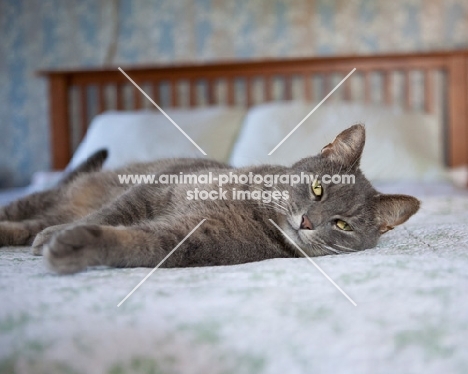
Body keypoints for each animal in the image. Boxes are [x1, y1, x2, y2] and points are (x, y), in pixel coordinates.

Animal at [0, 124, 418, 274]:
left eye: (342, 225)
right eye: (318, 189)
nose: (307, 222)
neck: (256, 210)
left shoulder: (185, 239)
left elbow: (131, 242)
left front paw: (73, 246)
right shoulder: (157, 188)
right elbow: (112, 213)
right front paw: (63, 235)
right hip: (52, 197)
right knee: (27, 212)